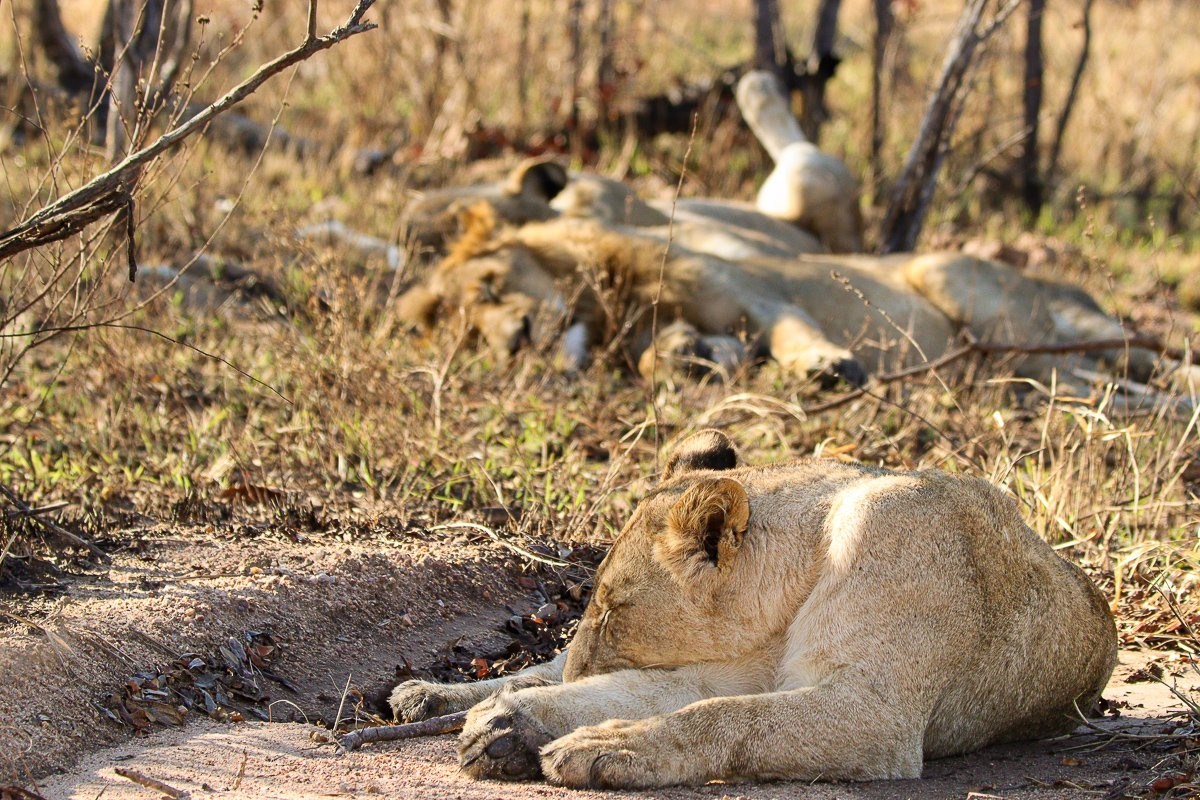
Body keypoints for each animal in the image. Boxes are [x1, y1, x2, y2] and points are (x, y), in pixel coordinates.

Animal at [388, 429, 1118, 788]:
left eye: (615, 609)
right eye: (597, 605)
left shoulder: (872, 713)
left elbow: (721, 715)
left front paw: (609, 745)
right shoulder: (747, 666)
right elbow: (649, 692)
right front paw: (514, 722)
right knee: (542, 665)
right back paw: (433, 697)